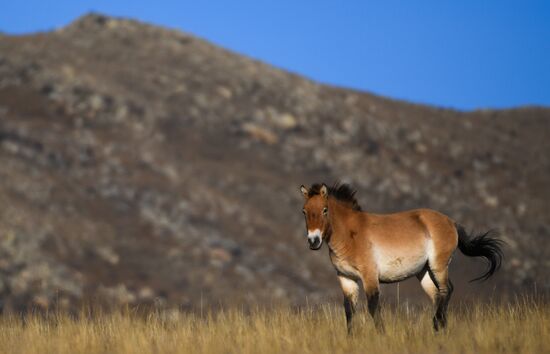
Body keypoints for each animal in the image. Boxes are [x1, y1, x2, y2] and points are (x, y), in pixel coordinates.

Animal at [302, 183, 504, 332]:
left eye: (325, 210)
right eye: (304, 211)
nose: (313, 241)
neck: (351, 234)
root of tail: (451, 222)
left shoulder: (369, 277)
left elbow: (373, 307)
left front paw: (381, 335)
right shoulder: (346, 278)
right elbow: (349, 311)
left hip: (438, 266)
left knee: (447, 290)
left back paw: (437, 324)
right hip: (424, 272)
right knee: (437, 295)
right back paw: (441, 328)